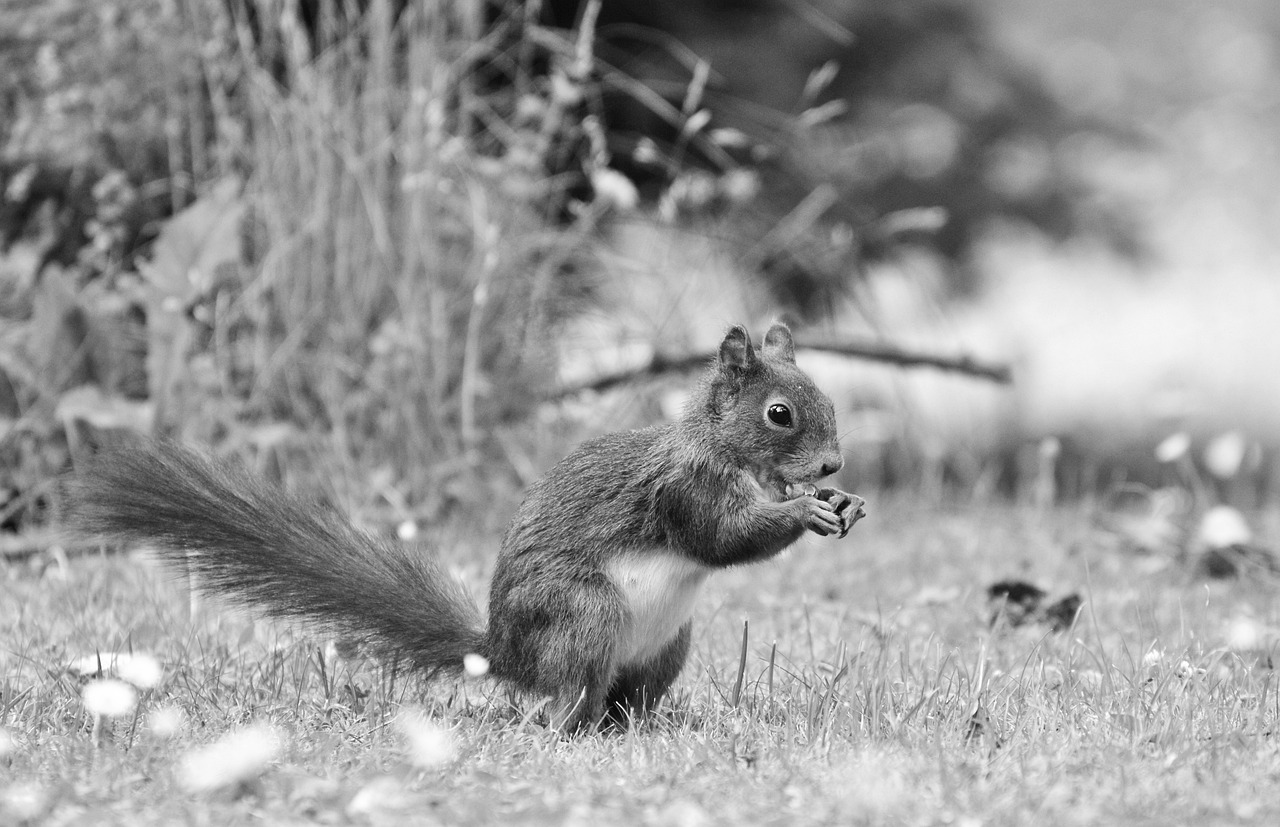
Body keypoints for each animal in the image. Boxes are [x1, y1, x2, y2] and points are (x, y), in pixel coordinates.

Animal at [72, 323, 870, 732]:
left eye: (830, 400)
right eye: (779, 414)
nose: (832, 464)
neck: (730, 455)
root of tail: (507, 654)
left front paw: (843, 503)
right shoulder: (684, 489)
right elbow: (720, 538)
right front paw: (803, 510)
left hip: (668, 645)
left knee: (623, 698)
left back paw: (646, 726)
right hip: (582, 612)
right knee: (567, 698)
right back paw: (570, 726)